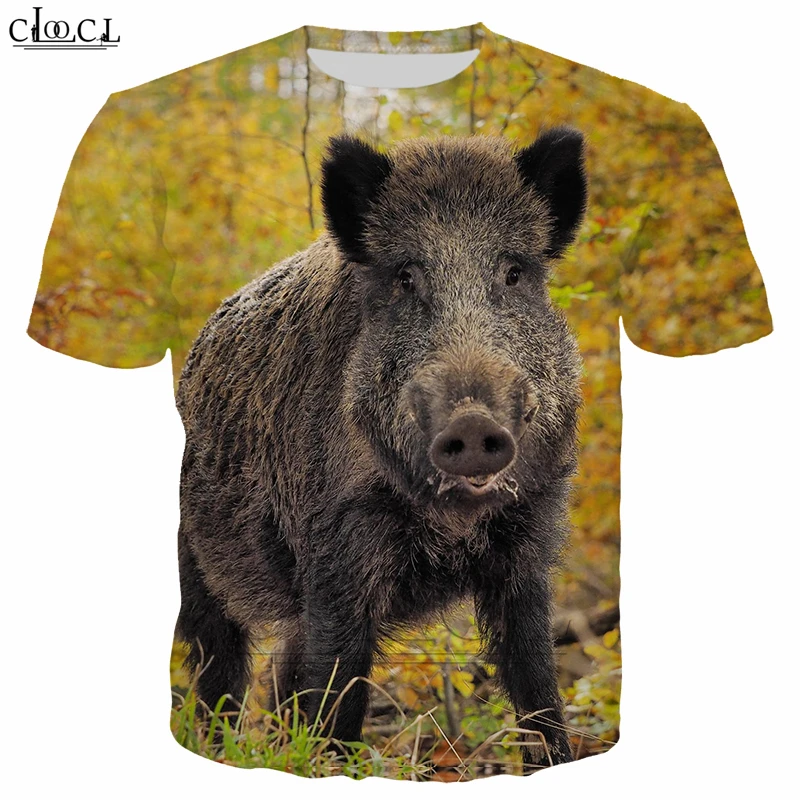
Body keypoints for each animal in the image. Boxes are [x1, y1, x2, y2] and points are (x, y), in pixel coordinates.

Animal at [175, 128, 587, 768]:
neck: (449, 522)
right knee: (219, 670)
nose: (472, 424)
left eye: (515, 272)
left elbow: (538, 687)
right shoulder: (337, 552)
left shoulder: (527, 545)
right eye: (405, 277)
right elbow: (339, 691)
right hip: (195, 557)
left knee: (281, 673)